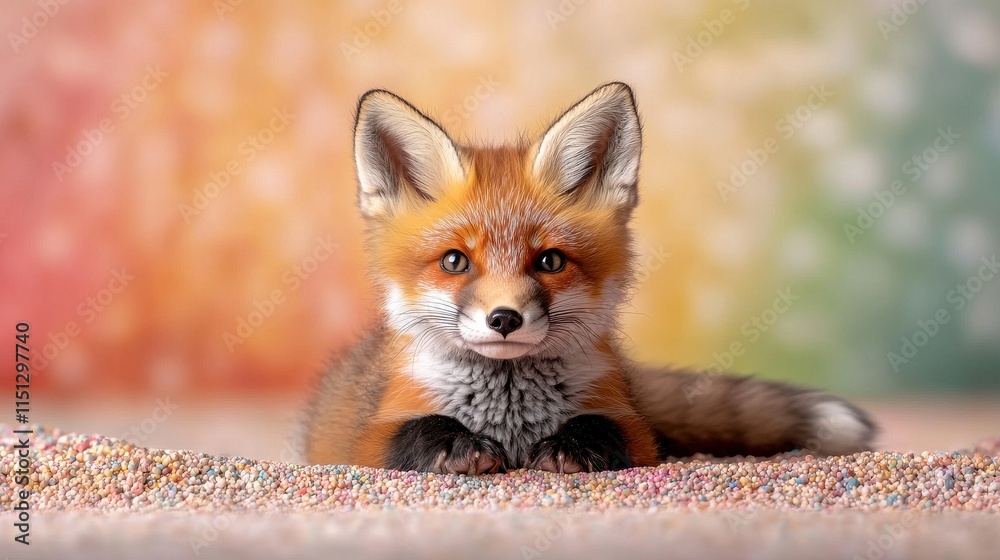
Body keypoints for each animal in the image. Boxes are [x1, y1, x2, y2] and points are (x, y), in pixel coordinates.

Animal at [303, 82, 877, 474]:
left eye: (551, 262)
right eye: (454, 262)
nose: (504, 319)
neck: (509, 411)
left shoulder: (632, 426)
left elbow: (601, 425)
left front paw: (569, 445)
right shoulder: (364, 440)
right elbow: (419, 429)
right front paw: (455, 442)